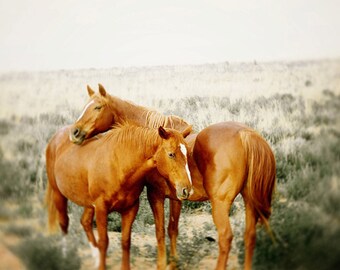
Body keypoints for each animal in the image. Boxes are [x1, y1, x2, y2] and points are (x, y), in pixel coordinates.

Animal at [44, 123, 193, 270]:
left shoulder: (130, 209)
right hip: (58, 194)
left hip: (88, 204)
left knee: (85, 222)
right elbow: (104, 242)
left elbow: (125, 242)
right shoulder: (101, 209)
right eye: (171, 154)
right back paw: (65, 256)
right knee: (64, 224)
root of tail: (54, 139)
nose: (187, 190)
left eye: (188, 154)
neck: (119, 166)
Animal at [67, 85, 274, 270]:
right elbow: (172, 229)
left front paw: (162, 264)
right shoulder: (177, 197)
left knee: (225, 238)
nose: (74, 132)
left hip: (220, 204)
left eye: (98, 107)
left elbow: (159, 232)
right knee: (250, 236)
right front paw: (174, 263)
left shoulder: (155, 195)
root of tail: (247, 135)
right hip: (249, 201)